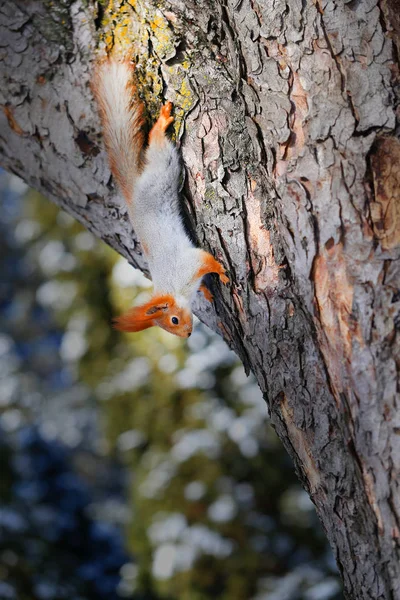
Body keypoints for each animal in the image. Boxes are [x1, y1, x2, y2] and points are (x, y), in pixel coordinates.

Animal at [91, 57, 228, 338]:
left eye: (173, 320)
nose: (187, 334)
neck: (173, 288)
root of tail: (133, 193)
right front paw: (207, 291)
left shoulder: (188, 264)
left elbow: (207, 260)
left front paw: (221, 272)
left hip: (163, 169)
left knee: (157, 145)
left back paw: (161, 122)